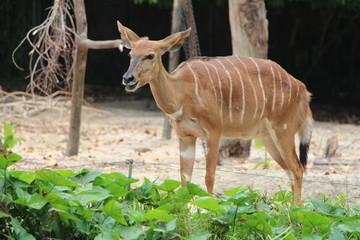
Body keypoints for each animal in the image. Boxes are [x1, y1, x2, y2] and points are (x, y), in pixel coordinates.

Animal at [117, 21, 312, 203]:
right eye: (130, 54)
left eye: (150, 55)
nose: (128, 78)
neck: (181, 93)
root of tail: (303, 90)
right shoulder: (185, 136)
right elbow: (184, 180)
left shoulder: (213, 132)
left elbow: (209, 177)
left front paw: (209, 209)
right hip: (267, 137)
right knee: (290, 171)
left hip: (283, 130)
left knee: (297, 168)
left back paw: (296, 211)